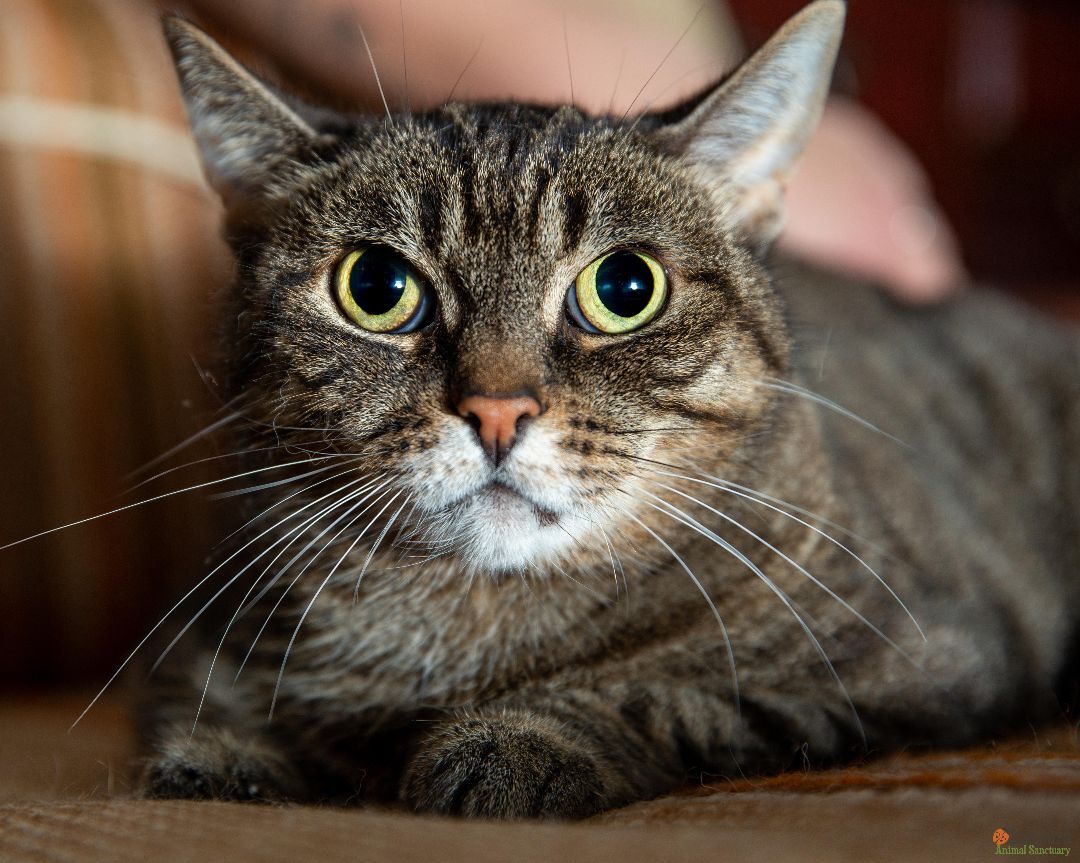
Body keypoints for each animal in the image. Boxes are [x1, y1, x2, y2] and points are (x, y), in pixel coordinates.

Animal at [137, 3, 1080, 816]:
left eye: (626, 287)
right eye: (375, 287)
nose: (497, 410)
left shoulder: (922, 664)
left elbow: (673, 696)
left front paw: (513, 740)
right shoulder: (196, 643)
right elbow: (199, 706)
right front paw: (227, 754)